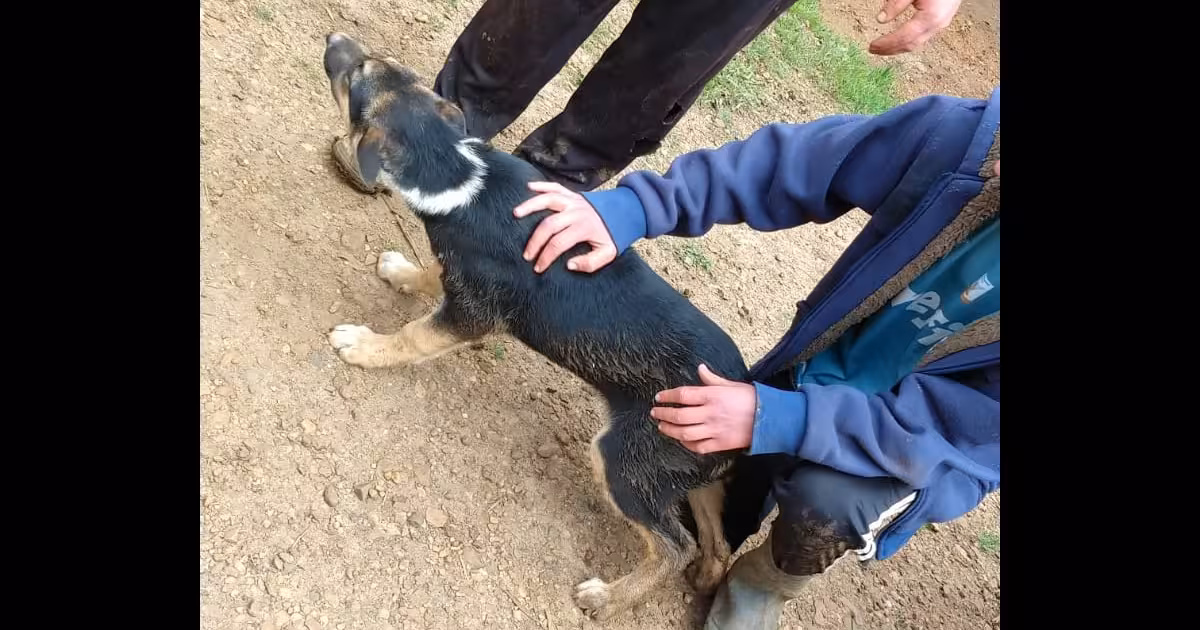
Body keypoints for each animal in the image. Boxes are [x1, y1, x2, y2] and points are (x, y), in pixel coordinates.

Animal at [320, 33, 750, 621]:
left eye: (356, 75)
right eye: (381, 65)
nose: (334, 38)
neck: (460, 178)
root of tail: (749, 405)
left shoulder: (471, 314)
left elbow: (412, 337)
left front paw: (363, 345)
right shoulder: (461, 275)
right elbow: (431, 272)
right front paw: (402, 272)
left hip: (624, 460)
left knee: (674, 545)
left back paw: (608, 598)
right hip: (683, 468)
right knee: (715, 536)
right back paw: (707, 577)